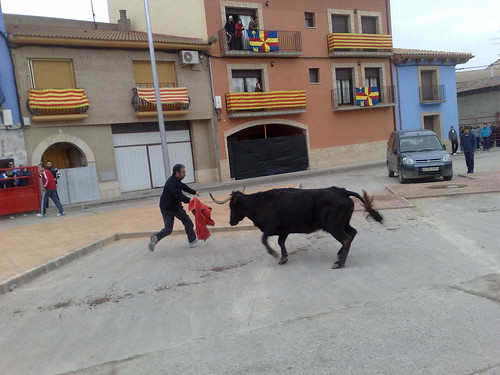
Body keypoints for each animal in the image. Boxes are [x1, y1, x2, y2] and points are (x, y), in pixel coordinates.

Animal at [210, 187, 382, 268]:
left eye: (232, 207)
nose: (231, 222)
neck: (260, 203)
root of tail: (341, 191)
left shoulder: (271, 227)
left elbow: (264, 240)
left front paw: (274, 254)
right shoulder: (284, 230)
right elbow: (281, 242)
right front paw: (283, 257)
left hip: (334, 226)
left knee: (346, 239)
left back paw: (339, 263)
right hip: (343, 223)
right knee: (352, 233)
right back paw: (339, 256)